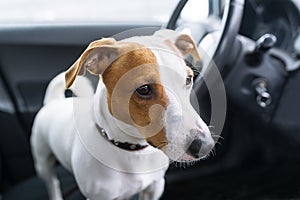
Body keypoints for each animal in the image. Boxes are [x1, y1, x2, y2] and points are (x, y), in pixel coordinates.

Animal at [31, 28, 216, 199]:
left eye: (188, 79)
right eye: (144, 89)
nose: (205, 146)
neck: (132, 150)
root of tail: (54, 101)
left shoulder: (155, 186)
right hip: (42, 161)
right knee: (52, 182)